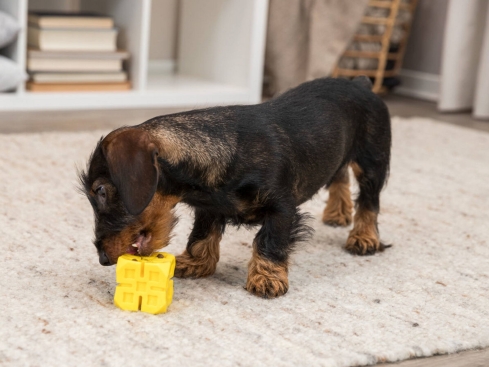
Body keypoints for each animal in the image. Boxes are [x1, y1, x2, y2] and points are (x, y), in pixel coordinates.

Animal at [81, 77, 392, 300]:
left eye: (101, 191)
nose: (103, 259)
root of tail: (360, 82)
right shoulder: (208, 209)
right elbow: (201, 236)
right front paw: (195, 262)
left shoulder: (282, 209)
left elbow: (269, 241)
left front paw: (267, 277)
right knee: (339, 175)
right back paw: (338, 213)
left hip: (372, 161)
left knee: (369, 200)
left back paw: (363, 237)